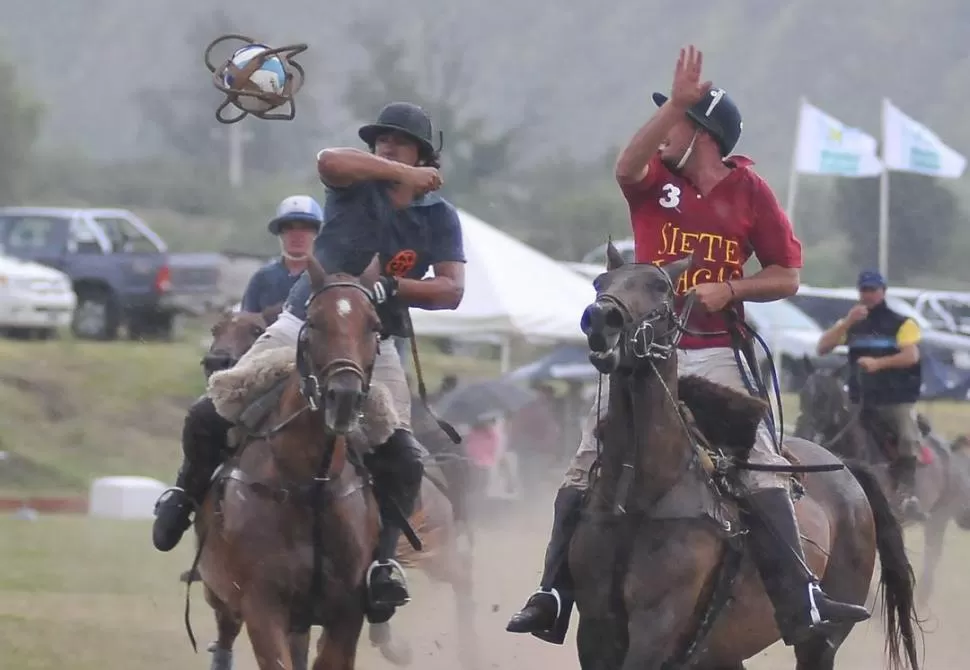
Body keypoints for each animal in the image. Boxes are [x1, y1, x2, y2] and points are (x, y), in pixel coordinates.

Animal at [187, 290, 478, 670]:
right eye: (216, 328)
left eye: (255, 329)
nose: (216, 361)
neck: (307, 484)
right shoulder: (259, 601)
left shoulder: (342, 607)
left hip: (436, 542)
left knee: (462, 575)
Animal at [572, 245, 920, 670]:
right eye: (599, 282)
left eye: (660, 288)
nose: (599, 318)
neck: (639, 494)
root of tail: (845, 466)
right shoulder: (595, 630)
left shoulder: (657, 628)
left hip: (823, 639)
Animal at [792, 364, 968, 608]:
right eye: (803, 395)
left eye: (825, 398)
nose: (804, 433)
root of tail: (950, 449)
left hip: (938, 519)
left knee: (933, 556)